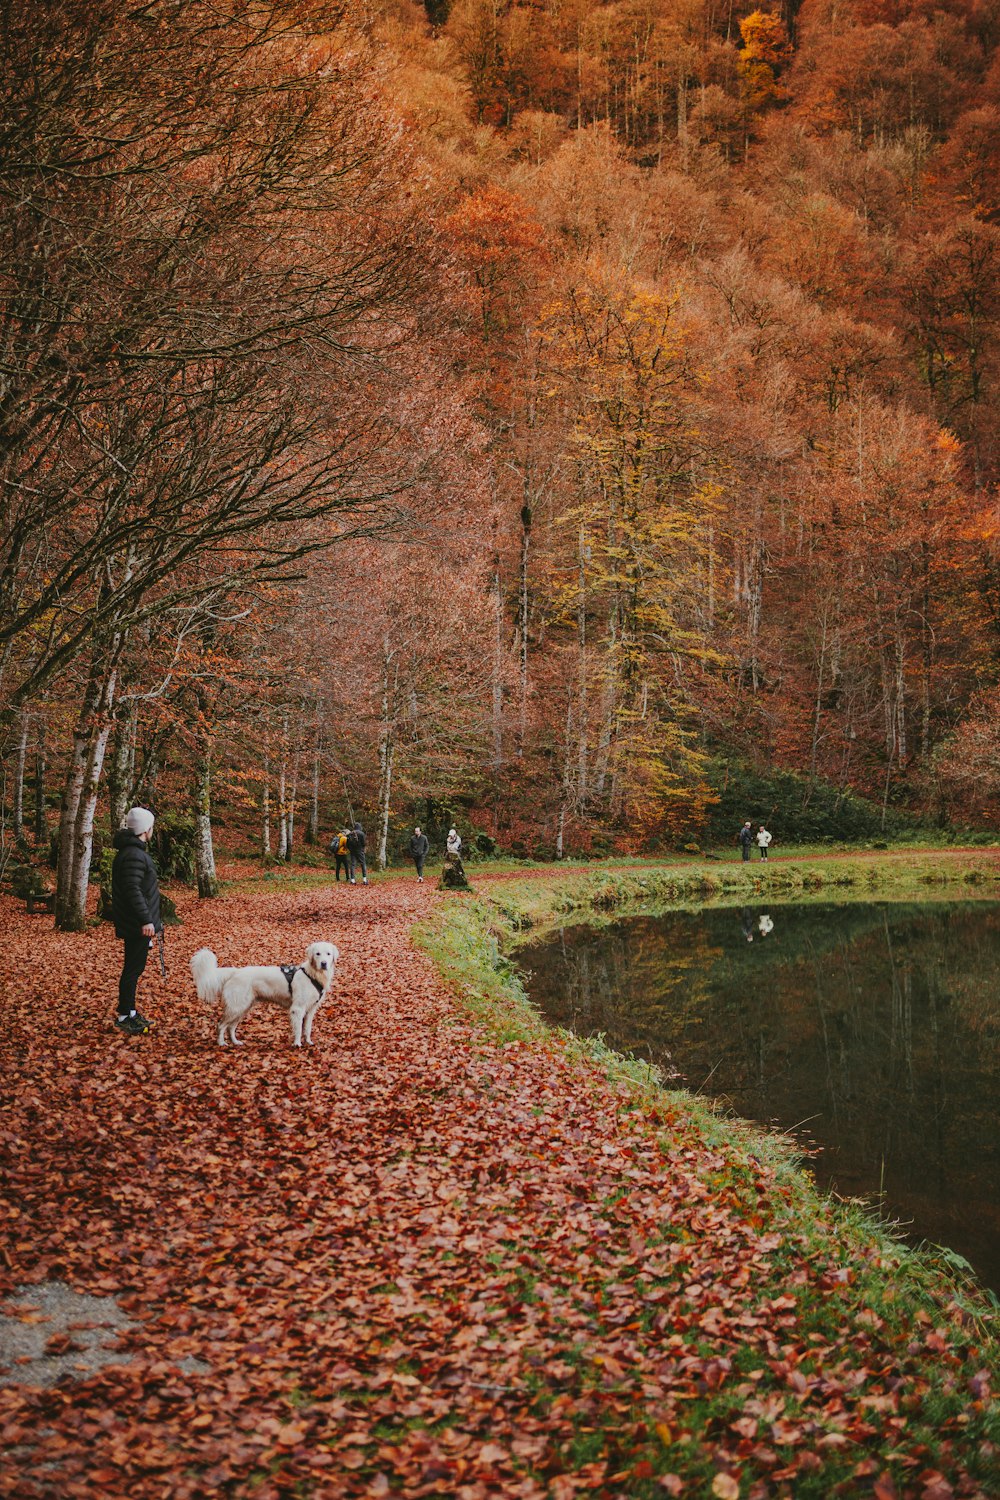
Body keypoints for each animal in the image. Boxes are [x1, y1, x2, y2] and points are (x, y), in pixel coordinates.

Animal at [190, 942, 340, 1050]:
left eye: (328, 954)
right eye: (317, 954)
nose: (324, 963)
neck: (312, 975)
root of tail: (236, 972)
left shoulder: (311, 1009)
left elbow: (307, 1029)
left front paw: (308, 1042)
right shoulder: (297, 1009)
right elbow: (298, 1029)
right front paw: (297, 1044)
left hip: (242, 1007)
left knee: (231, 1027)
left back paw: (236, 1042)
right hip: (237, 1007)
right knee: (221, 1025)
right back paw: (221, 1043)